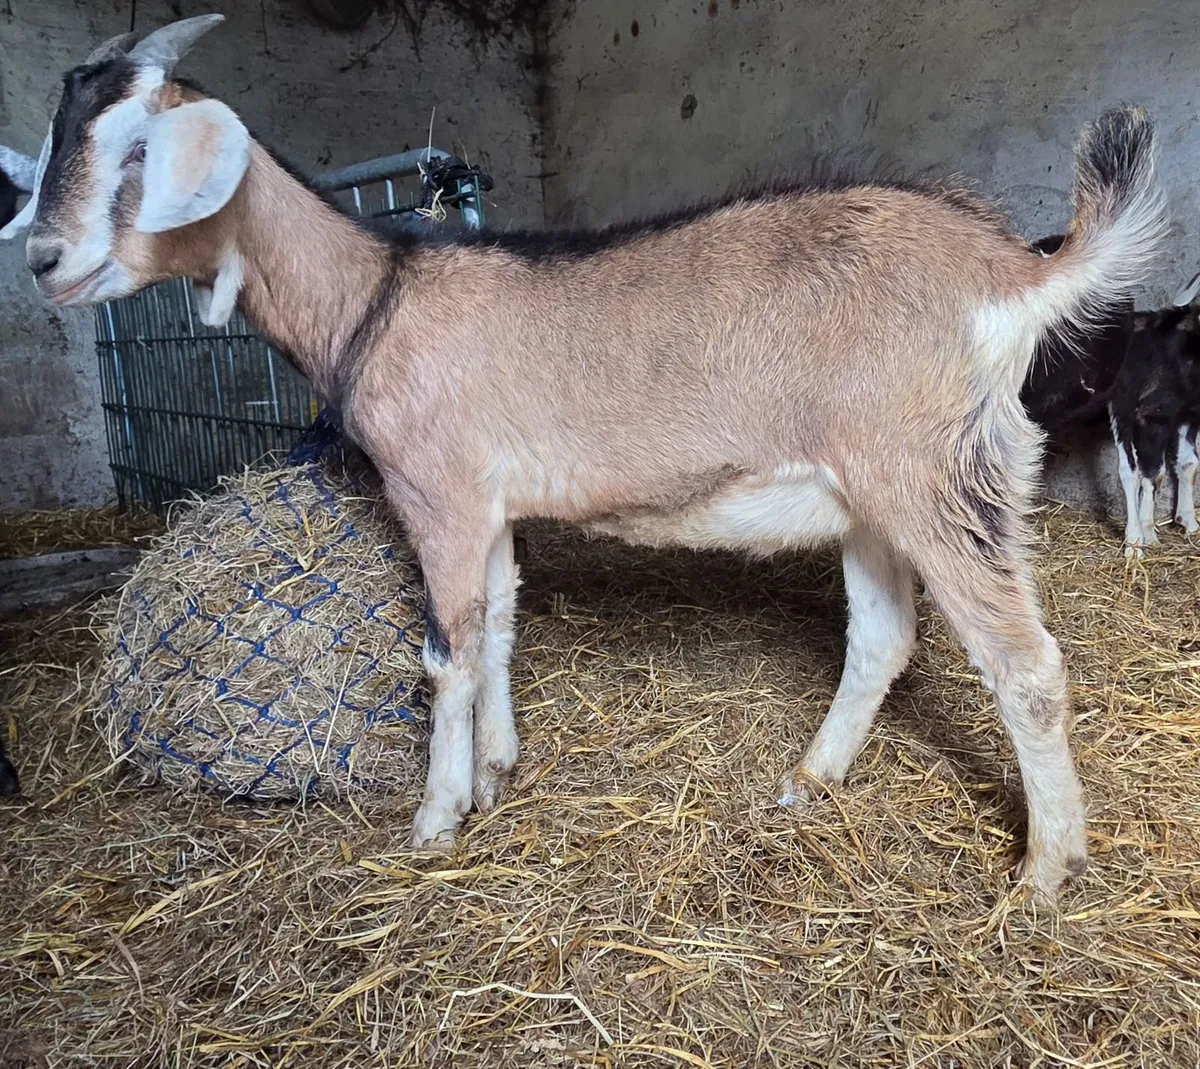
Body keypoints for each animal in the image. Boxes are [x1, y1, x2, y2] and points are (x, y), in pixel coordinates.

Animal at [18, 15, 1168, 898]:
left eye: (138, 152)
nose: (41, 260)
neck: (380, 295)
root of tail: (1011, 269)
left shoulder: (436, 492)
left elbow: (446, 652)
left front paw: (435, 818)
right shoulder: (487, 504)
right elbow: (496, 626)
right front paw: (496, 770)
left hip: (937, 475)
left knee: (1023, 663)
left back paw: (1044, 873)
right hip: (875, 493)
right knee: (883, 639)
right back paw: (807, 781)